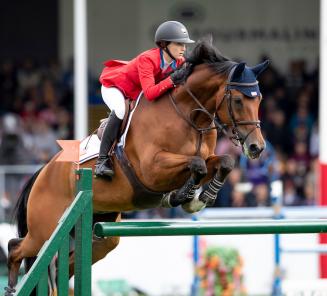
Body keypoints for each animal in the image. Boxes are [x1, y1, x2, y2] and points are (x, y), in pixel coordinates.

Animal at [6, 39, 270, 294]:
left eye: (259, 99)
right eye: (238, 100)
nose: (256, 147)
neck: (189, 116)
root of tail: (43, 173)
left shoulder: (206, 158)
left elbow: (223, 162)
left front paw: (201, 198)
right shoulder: (152, 170)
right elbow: (197, 165)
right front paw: (183, 197)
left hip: (101, 230)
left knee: (68, 263)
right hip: (45, 230)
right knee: (16, 247)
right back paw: (10, 287)